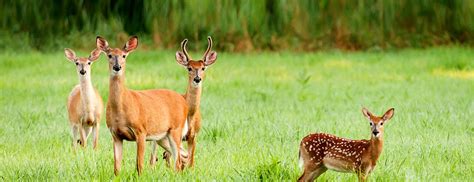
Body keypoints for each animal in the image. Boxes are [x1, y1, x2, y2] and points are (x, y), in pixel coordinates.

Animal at [96, 35, 189, 175]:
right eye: (110, 55)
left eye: (124, 55)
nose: (117, 67)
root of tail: (184, 101)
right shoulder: (115, 134)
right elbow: (116, 167)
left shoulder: (141, 131)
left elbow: (139, 165)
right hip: (163, 136)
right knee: (183, 155)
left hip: (175, 129)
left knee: (178, 159)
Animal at [150, 36, 218, 168]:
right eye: (189, 68)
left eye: (203, 68)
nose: (197, 79)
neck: (190, 114)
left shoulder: (193, 135)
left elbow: (191, 161)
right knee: (155, 157)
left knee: (166, 155)